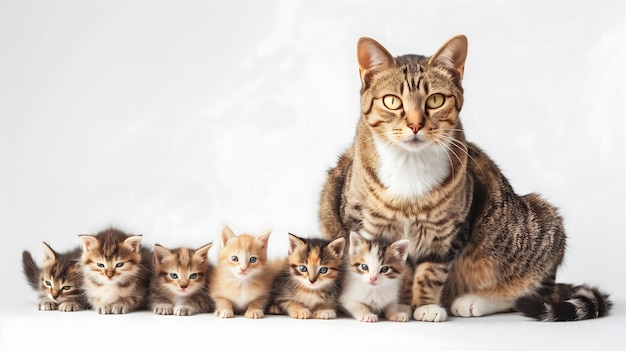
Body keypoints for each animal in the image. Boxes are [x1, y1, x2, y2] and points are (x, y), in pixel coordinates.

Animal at [316, 34, 608, 324]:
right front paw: (395, 303)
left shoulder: (449, 231)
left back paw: (474, 301)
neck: (410, 165)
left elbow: (431, 270)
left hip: (535, 226)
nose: (415, 125)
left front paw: (424, 305)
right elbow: (385, 265)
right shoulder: (363, 224)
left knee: (525, 295)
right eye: (392, 101)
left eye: (435, 100)